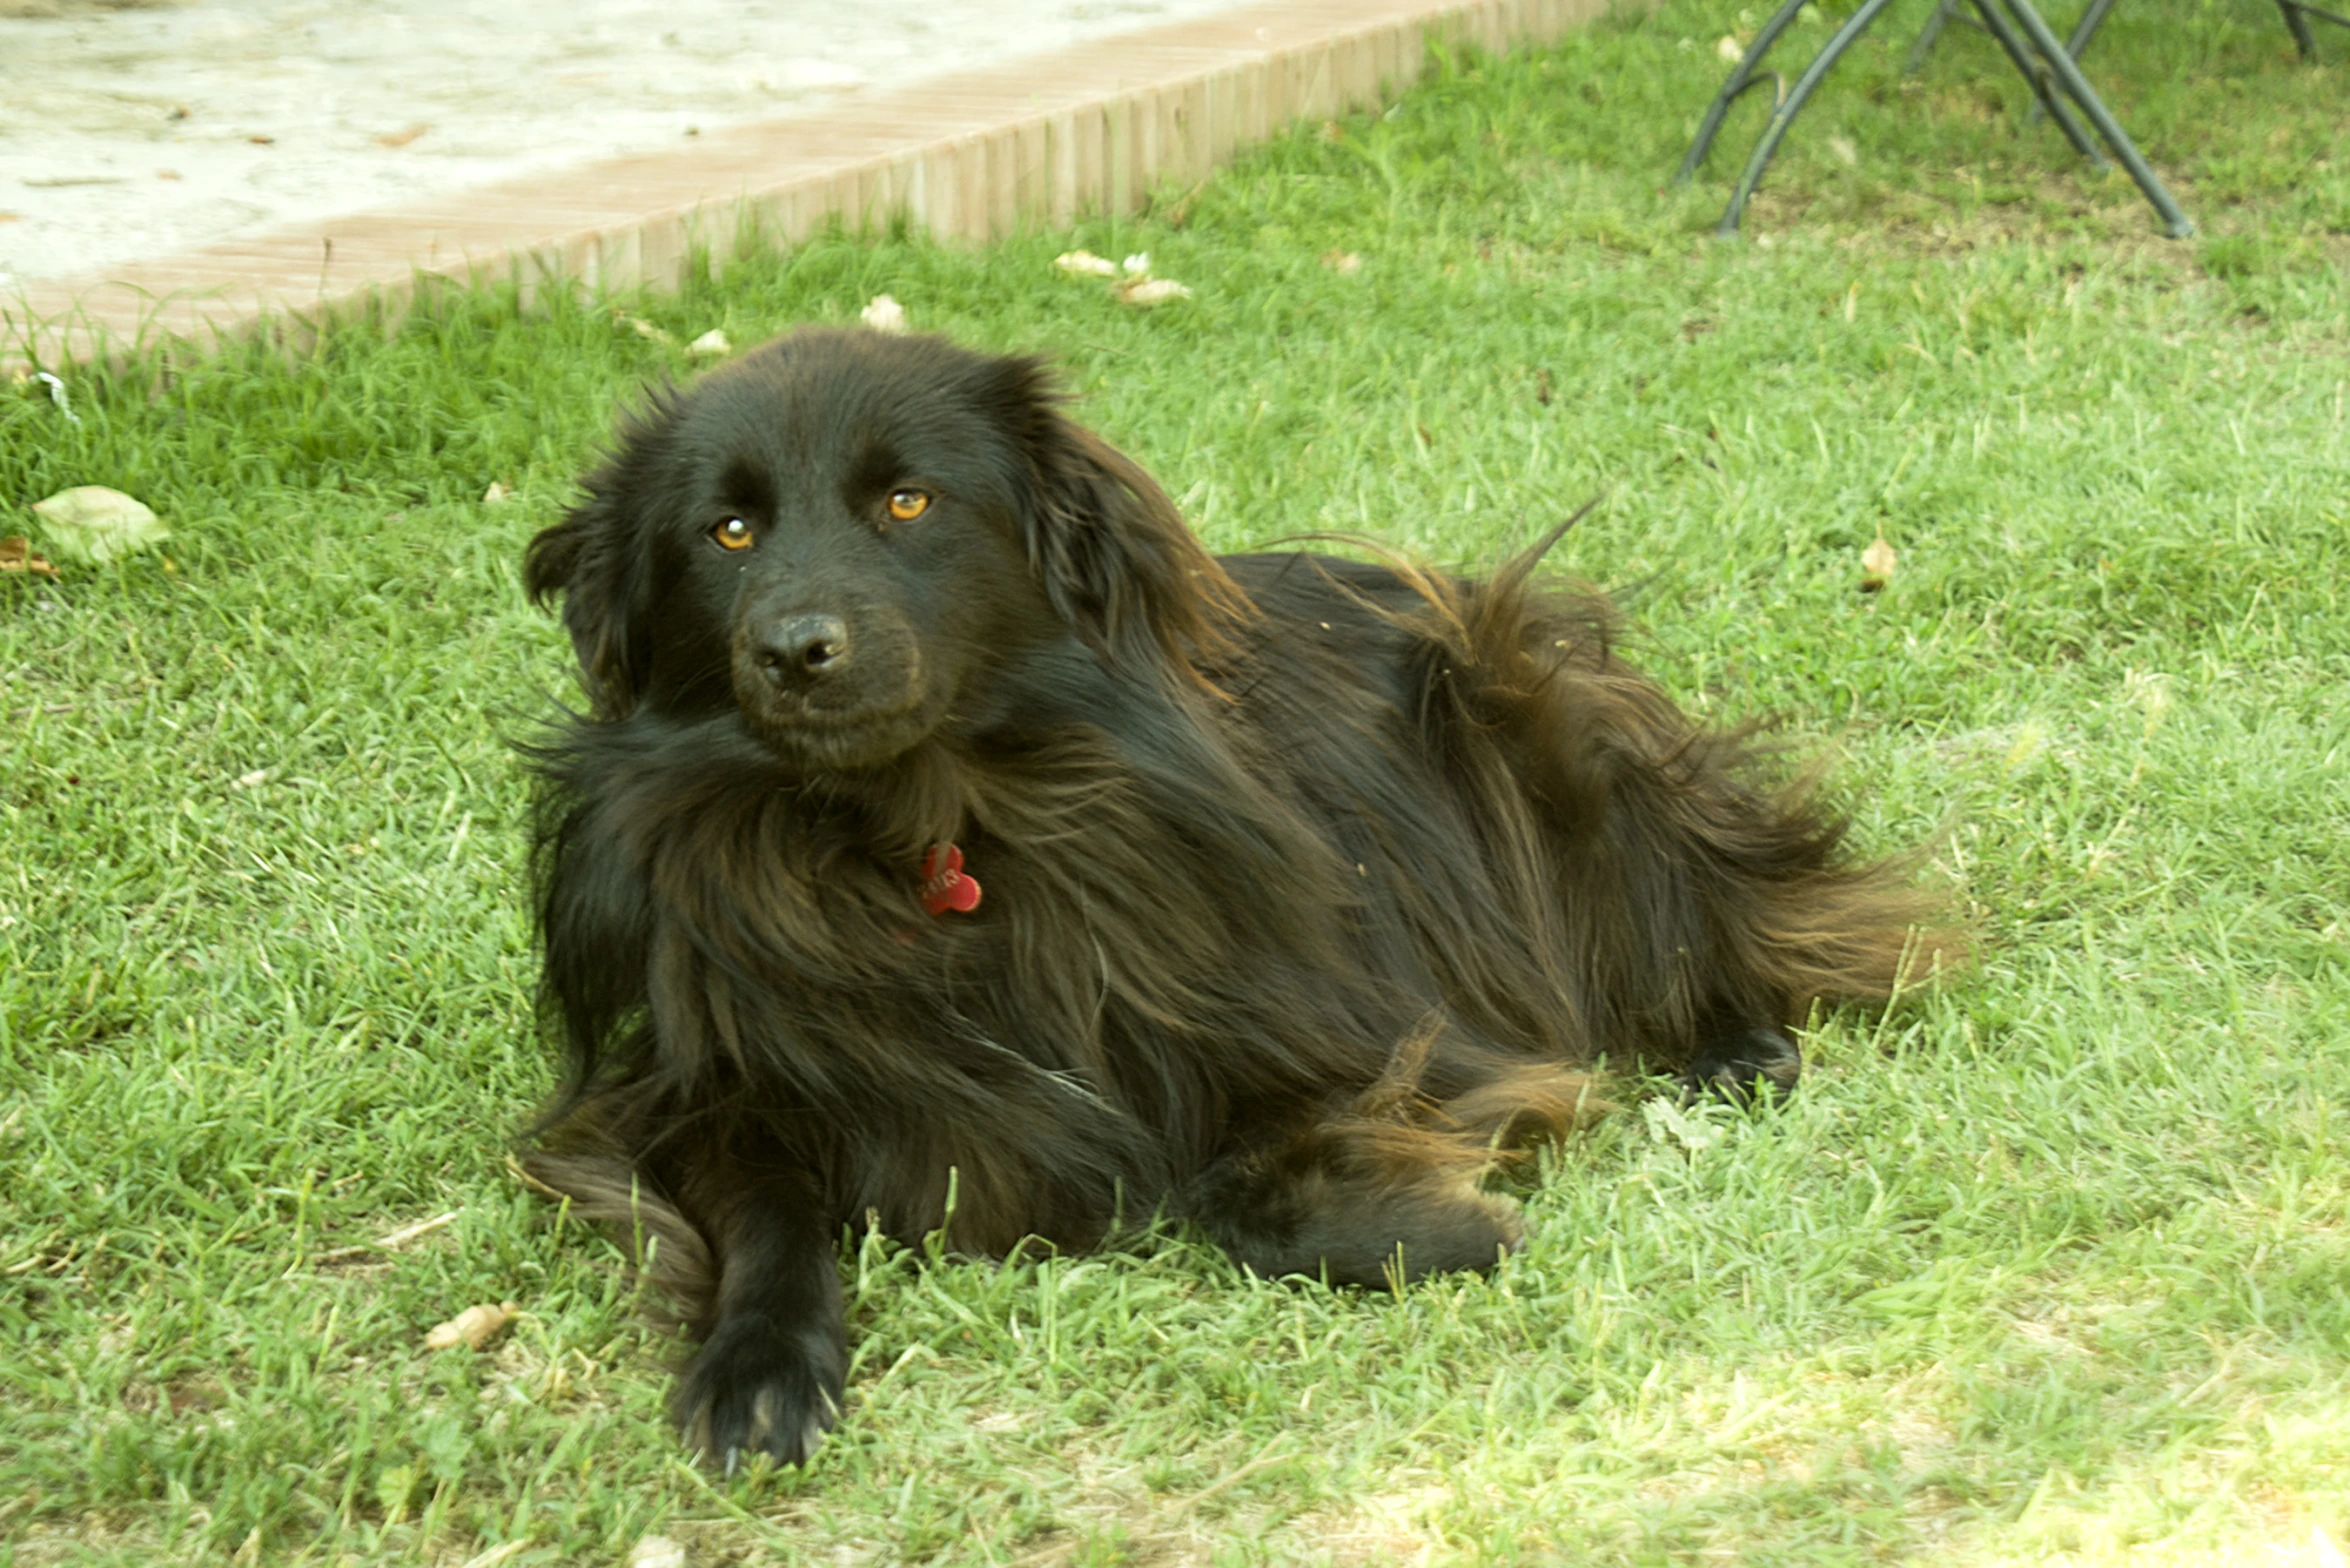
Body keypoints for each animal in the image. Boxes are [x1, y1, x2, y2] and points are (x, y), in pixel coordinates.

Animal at [524, 324, 1955, 1466]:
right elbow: (760, 1204)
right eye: (728, 530)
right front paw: (756, 1364)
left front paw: (1434, 1223)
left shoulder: (1355, 1022)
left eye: (909, 501)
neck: (921, 840)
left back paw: (1734, 1037)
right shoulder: (693, 1085)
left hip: (1522, 701)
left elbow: (1230, 1180)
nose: (793, 650)